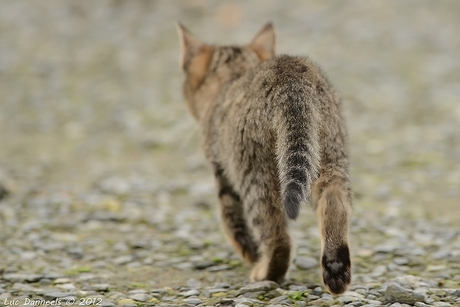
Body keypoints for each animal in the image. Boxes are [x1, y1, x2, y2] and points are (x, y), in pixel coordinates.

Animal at [176, 22, 352, 296]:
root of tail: (291, 78)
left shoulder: (222, 170)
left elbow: (233, 221)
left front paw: (250, 253)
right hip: (331, 156)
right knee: (334, 202)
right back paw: (335, 270)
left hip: (254, 172)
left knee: (278, 236)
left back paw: (265, 272)